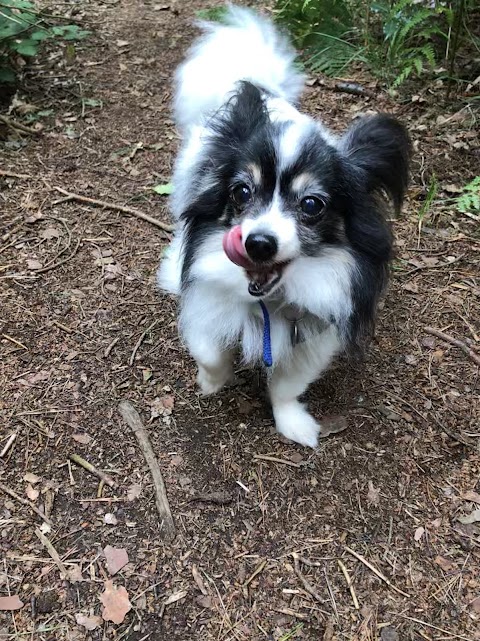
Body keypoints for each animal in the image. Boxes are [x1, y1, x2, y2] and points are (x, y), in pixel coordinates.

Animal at [159, 6, 410, 444]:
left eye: (312, 204)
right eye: (242, 192)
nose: (258, 243)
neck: (269, 300)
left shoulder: (314, 335)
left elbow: (288, 385)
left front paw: (293, 423)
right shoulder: (207, 299)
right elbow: (208, 349)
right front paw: (210, 381)